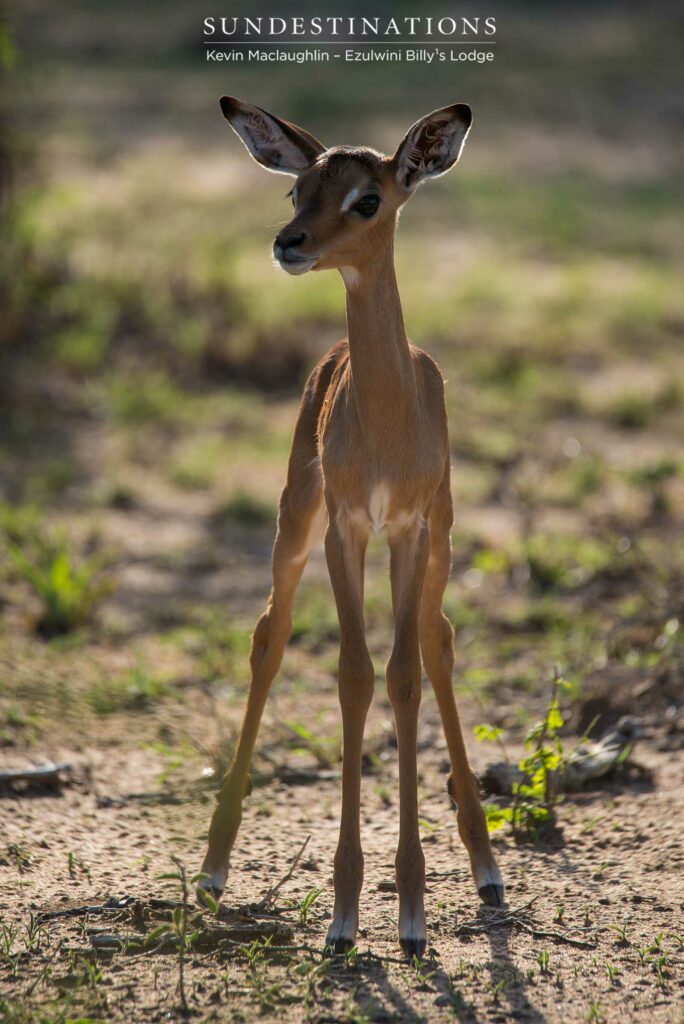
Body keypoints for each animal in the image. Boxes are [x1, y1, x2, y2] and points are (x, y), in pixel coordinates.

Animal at [198, 97, 504, 956]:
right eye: (296, 188)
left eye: (369, 198)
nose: (289, 243)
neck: (388, 420)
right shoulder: (347, 528)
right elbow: (354, 675)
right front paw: (344, 914)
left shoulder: (408, 529)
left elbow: (401, 674)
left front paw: (411, 913)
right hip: (295, 521)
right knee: (269, 637)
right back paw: (213, 868)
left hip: (440, 538)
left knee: (436, 640)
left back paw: (487, 868)